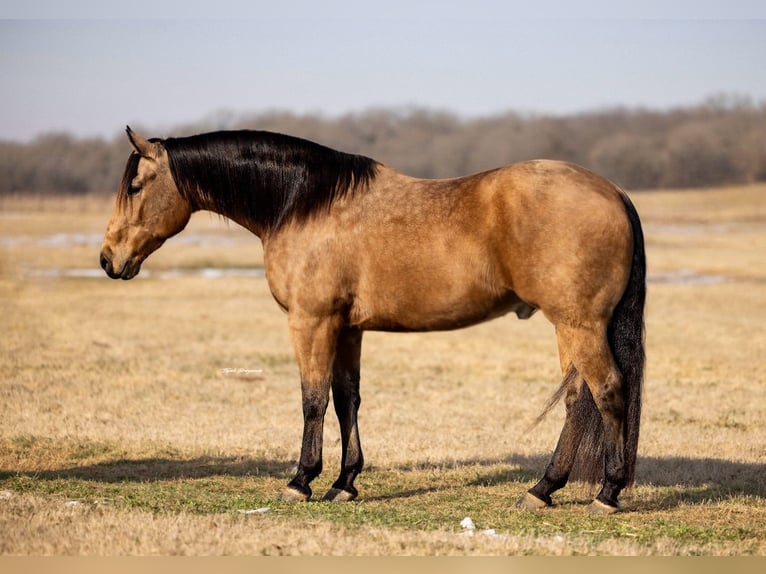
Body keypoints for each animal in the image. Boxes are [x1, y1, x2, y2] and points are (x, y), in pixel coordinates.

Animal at [100, 126, 645, 514]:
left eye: (135, 185)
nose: (108, 260)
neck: (303, 204)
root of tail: (614, 192)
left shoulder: (313, 322)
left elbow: (313, 399)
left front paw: (301, 480)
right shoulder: (348, 329)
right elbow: (347, 400)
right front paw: (345, 483)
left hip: (578, 324)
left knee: (610, 392)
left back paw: (607, 493)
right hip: (568, 326)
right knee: (577, 401)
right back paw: (542, 489)